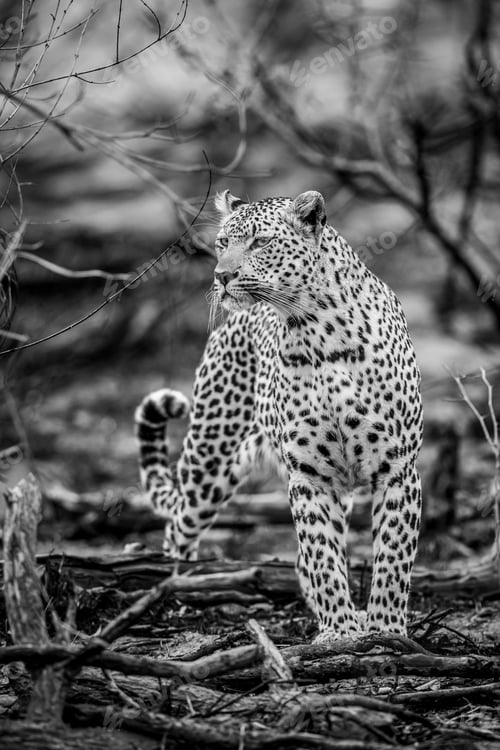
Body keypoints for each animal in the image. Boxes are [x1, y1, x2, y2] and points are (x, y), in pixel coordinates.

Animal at [135, 189, 423, 642]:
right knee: (179, 525)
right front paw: (338, 632)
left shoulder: (397, 468)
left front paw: (386, 629)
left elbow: (393, 556)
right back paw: (173, 590)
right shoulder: (309, 475)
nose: (221, 276)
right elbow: (321, 554)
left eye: (261, 242)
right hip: (209, 461)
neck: (317, 331)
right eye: (222, 242)